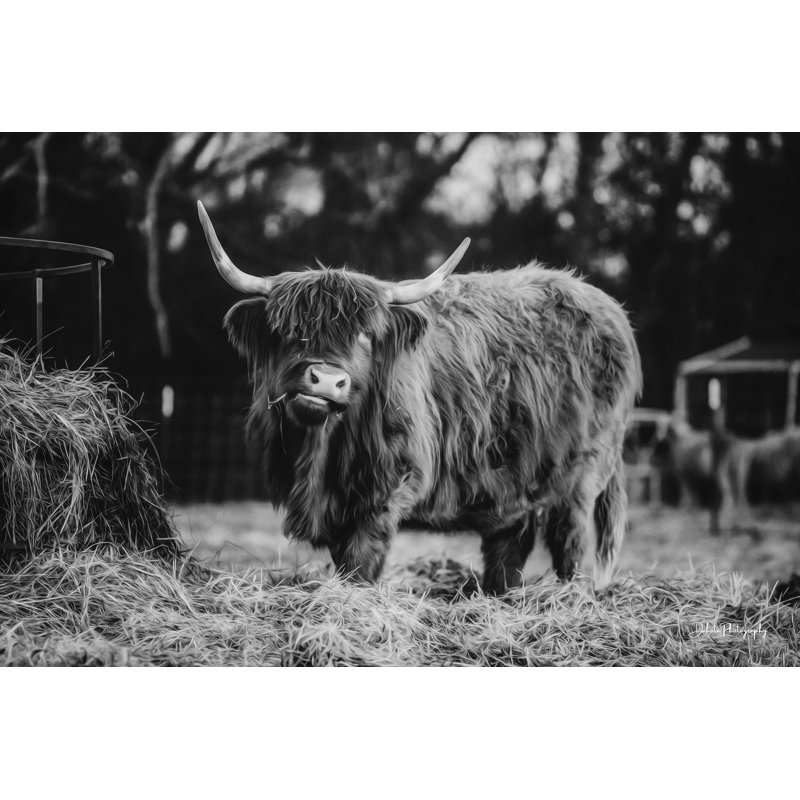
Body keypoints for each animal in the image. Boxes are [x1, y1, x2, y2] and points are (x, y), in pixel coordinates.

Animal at [197, 201, 642, 593]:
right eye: (291, 329)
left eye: (366, 335)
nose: (326, 380)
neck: (319, 457)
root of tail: (610, 309)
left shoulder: (390, 484)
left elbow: (360, 559)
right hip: (516, 480)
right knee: (509, 546)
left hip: (584, 474)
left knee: (572, 542)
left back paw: (571, 597)